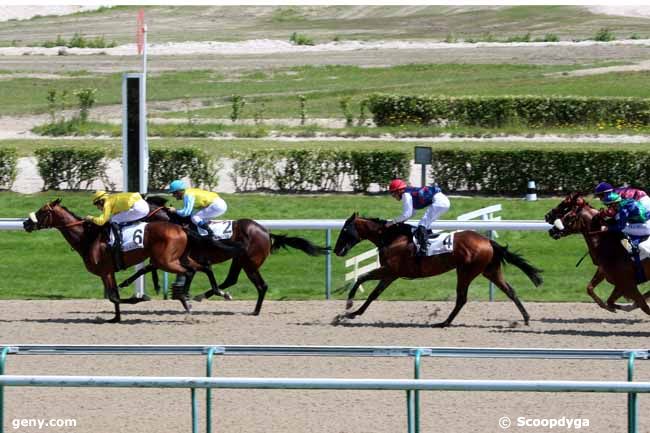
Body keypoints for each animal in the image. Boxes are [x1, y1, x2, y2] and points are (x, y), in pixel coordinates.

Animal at [22, 199, 209, 320]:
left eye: (42, 211)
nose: (25, 223)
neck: (87, 237)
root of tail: (181, 228)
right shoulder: (109, 272)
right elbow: (114, 296)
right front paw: (116, 318)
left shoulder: (104, 272)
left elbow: (114, 297)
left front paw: (139, 298)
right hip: (177, 259)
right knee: (201, 267)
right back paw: (191, 298)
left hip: (166, 262)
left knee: (189, 271)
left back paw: (184, 297)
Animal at [116, 196, 326, 314]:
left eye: (135, 210)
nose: (122, 224)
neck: (177, 224)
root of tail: (267, 233)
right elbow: (148, 268)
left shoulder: (180, 258)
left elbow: (151, 268)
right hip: (239, 259)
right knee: (232, 279)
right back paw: (207, 295)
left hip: (250, 263)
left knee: (261, 285)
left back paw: (254, 311)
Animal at [332, 213, 540, 328]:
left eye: (344, 230)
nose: (336, 250)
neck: (392, 237)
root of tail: (488, 241)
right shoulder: (391, 274)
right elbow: (373, 294)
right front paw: (352, 314)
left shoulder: (389, 270)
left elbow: (362, 277)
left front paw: (348, 305)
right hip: (489, 271)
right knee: (510, 291)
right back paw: (526, 318)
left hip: (466, 271)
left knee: (462, 298)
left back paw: (444, 323)